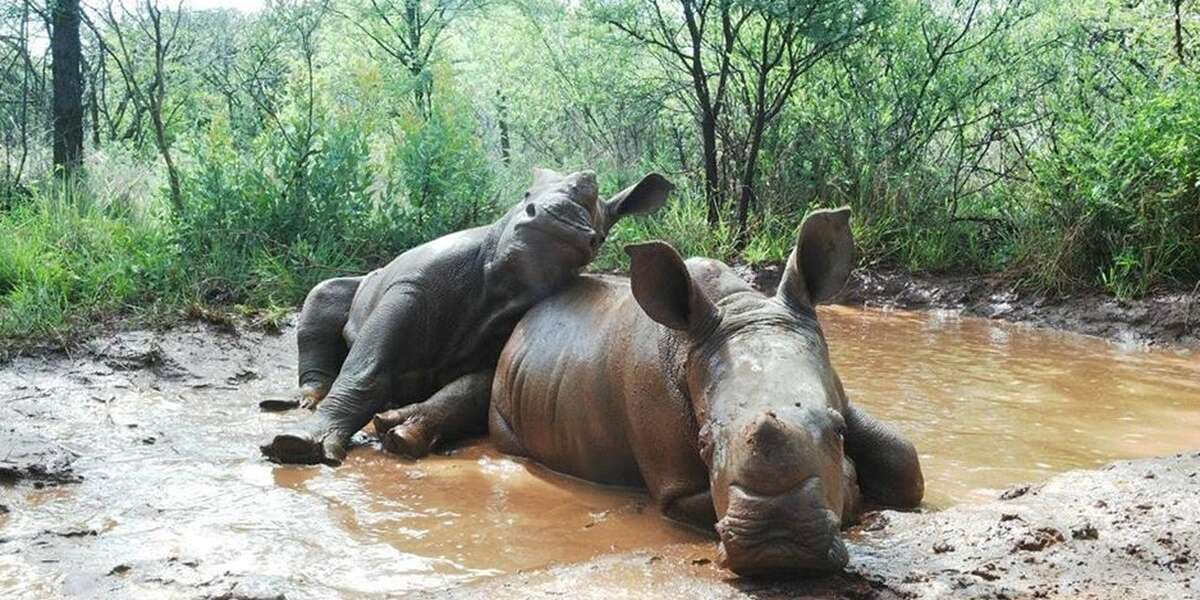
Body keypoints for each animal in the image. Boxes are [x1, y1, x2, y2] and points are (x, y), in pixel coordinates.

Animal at [260, 168, 673, 465]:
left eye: (599, 236)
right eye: (525, 198)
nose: (554, 224)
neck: (502, 283)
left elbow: (470, 391)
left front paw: (404, 435)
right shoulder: (411, 285)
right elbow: (363, 369)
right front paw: (298, 444)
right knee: (323, 291)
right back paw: (307, 401)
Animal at [373, 208, 924, 575]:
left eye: (836, 430)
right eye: (704, 442)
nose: (780, 546)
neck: (736, 307)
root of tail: (525, 322)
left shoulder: (838, 389)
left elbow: (904, 460)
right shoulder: (673, 481)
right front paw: (854, 489)